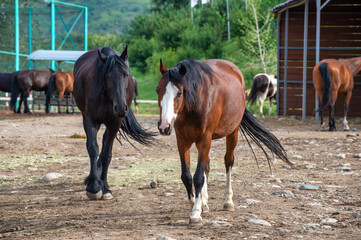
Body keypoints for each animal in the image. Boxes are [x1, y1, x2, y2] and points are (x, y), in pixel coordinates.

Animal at [72, 46, 154, 201]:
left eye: (126, 75)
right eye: (107, 76)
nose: (121, 108)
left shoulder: (115, 123)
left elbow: (106, 154)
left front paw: (104, 188)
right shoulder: (90, 120)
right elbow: (93, 148)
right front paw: (94, 187)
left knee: (105, 142)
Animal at [155, 58, 290, 223]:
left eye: (179, 92)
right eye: (158, 90)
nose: (164, 126)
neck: (195, 105)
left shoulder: (205, 139)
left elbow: (198, 177)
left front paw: (196, 213)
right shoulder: (182, 141)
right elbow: (187, 176)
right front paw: (195, 203)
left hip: (233, 132)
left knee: (228, 162)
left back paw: (228, 202)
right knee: (206, 166)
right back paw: (205, 202)